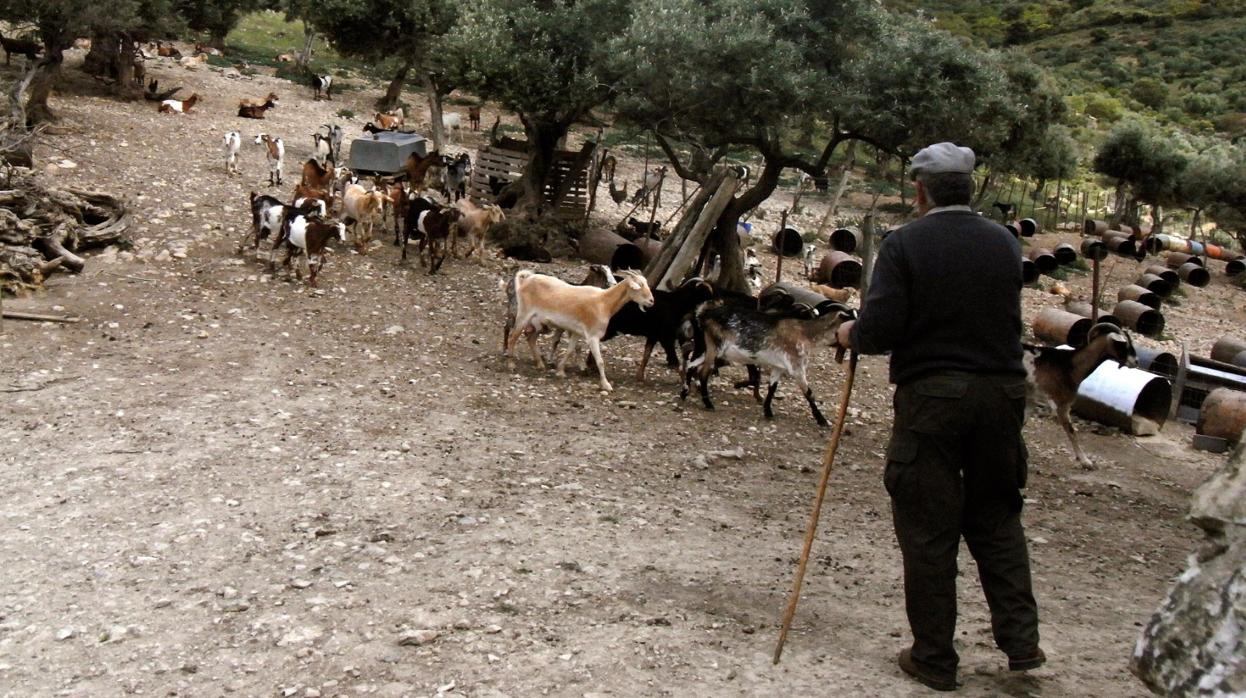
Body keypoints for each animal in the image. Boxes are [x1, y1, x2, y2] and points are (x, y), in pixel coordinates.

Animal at [1021, 321, 1141, 468]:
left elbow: (1023, 423)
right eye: (1123, 343)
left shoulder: (1032, 398)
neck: (1070, 365)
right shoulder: (1061, 404)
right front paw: (1085, 461)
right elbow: (1072, 431)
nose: (1136, 361)